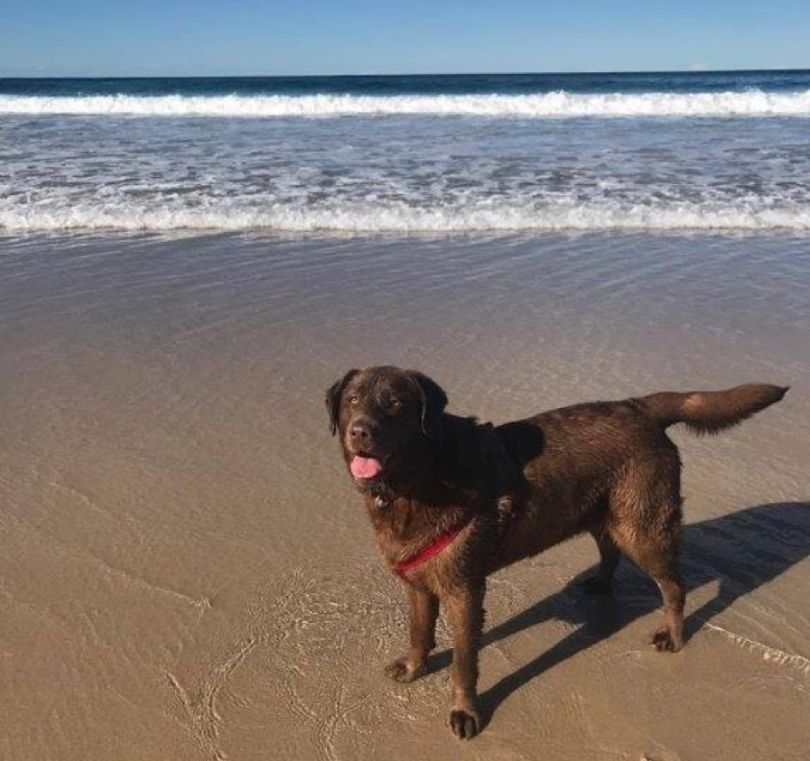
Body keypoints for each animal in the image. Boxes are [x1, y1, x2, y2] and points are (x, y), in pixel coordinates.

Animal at [324, 366, 784, 736]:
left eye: (396, 404)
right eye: (352, 400)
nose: (360, 431)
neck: (420, 479)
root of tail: (640, 408)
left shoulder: (464, 590)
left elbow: (464, 661)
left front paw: (465, 712)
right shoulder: (418, 584)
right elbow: (419, 631)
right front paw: (415, 667)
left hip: (644, 528)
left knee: (674, 584)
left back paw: (672, 634)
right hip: (602, 513)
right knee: (609, 550)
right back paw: (600, 583)